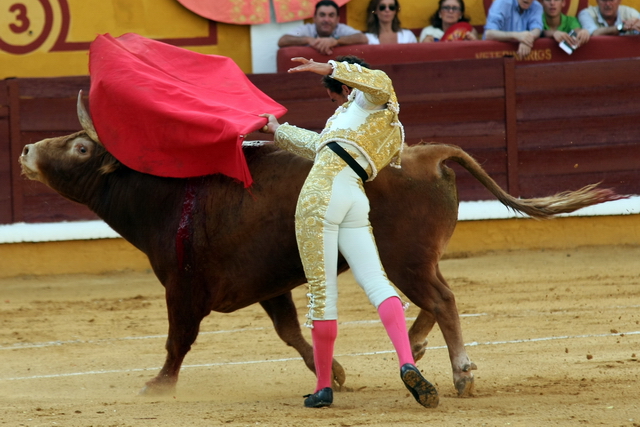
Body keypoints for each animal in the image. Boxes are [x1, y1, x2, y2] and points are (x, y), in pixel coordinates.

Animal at [18, 98, 620, 402]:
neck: (168, 195)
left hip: (403, 258)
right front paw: (338, 374)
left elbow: (177, 341)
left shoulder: (182, 288)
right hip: (413, 259)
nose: (25, 150)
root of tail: (429, 153)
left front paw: (158, 387)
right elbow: (289, 331)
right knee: (433, 299)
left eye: (80, 146)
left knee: (442, 300)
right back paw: (420, 350)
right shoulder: (265, 284)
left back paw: (461, 373)